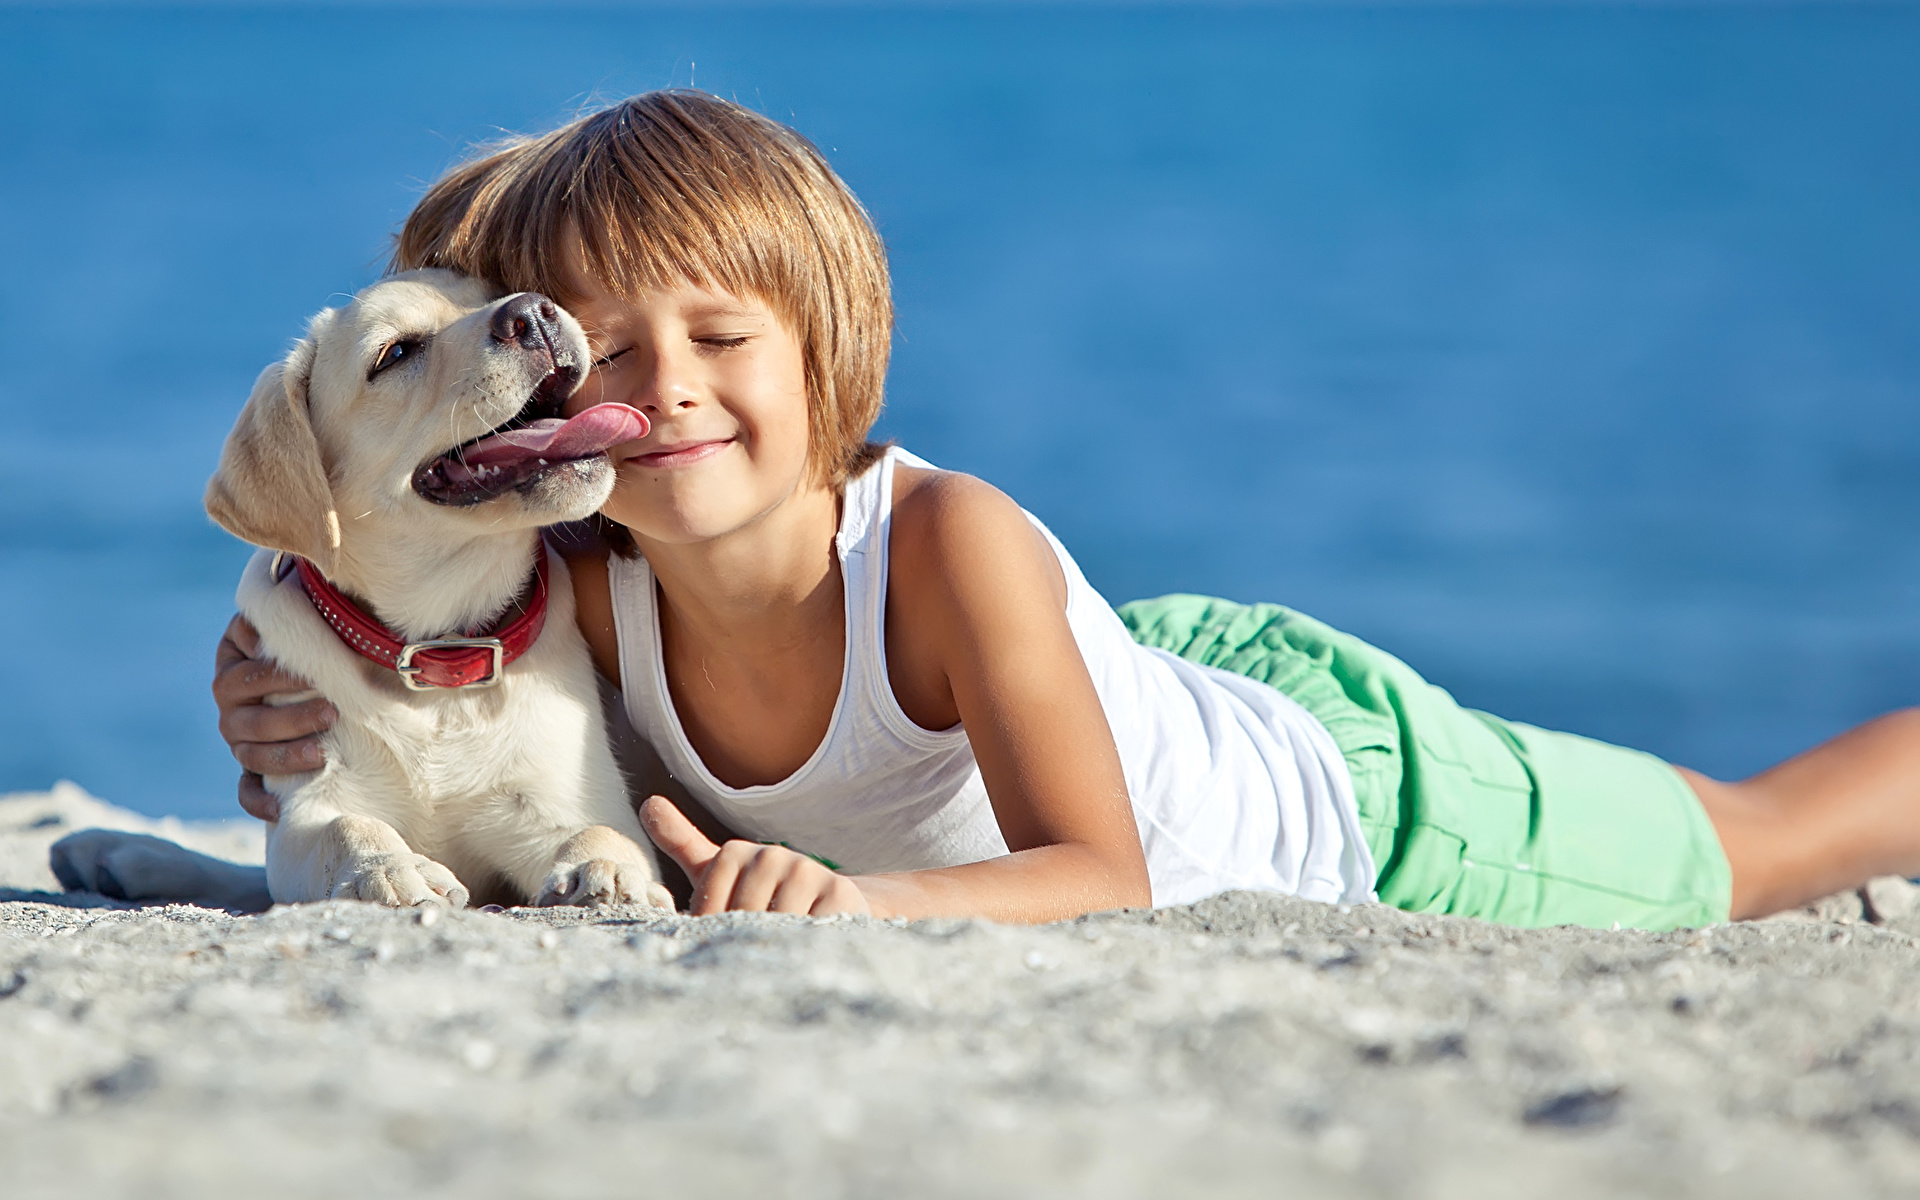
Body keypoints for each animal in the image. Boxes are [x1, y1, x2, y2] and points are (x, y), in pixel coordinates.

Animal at [63, 268, 675, 906]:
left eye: (493, 291)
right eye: (396, 353)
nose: (533, 311)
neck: (438, 660)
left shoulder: (565, 800)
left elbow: (602, 831)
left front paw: (609, 869)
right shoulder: (306, 808)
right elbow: (347, 826)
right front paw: (388, 865)